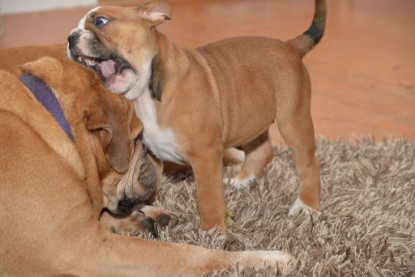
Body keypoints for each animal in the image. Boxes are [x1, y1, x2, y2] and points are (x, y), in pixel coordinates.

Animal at [0, 55, 294, 274]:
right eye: (138, 138)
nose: (152, 159)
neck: (54, 118)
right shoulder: (86, 250)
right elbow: (188, 254)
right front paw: (266, 260)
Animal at [68, 0, 328, 233]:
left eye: (101, 21)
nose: (71, 38)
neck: (145, 95)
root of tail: (289, 46)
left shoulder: (205, 156)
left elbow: (208, 196)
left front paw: (212, 232)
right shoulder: (151, 155)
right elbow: (147, 183)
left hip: (292, 119)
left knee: (308, 163)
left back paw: (306, 206)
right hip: (251, 118)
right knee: (262, 151)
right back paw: (242, 180)